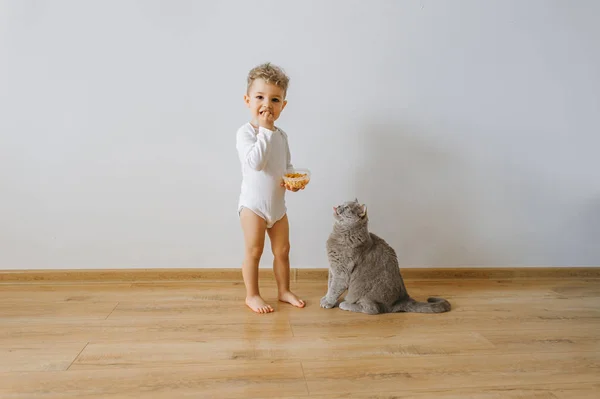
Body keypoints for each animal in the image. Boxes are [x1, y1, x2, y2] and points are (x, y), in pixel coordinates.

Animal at [318, 200, 450, 316]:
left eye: (347, 207)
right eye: (342, 203)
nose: (339, 206)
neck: (340, 234)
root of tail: (403, 299)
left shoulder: (341, 272)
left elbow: (334, 288)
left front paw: (328, 302)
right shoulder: (332, 269)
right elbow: (330, 285)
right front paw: (325, 297)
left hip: (364, 294)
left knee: (373, 309)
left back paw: (345, 304)